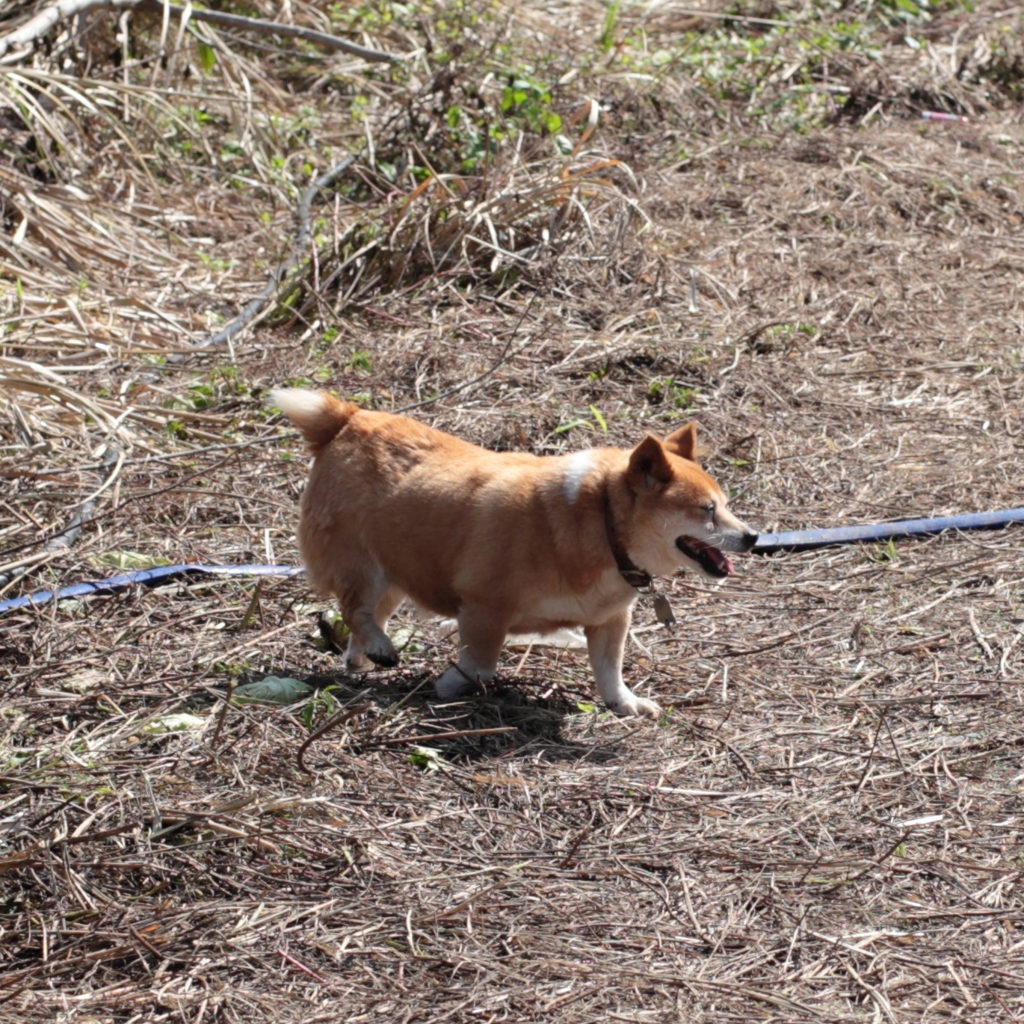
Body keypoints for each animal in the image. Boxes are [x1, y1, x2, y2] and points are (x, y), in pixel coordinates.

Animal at [268, 387, 757, 716]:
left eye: (726, 505)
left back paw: (364, 656)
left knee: (366, 616)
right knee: (355, 609)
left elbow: (610, 673)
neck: (602, 525)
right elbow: (481, 665)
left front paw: (625, 703)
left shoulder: (609, 621)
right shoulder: (484, 609)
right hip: (362, 567)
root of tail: (346, 419)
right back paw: (380, 648)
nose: (753, 537)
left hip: (394, 576)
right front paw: (450, 685)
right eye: (707, 510)